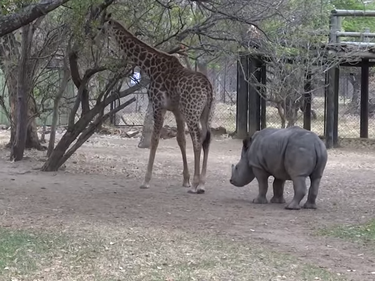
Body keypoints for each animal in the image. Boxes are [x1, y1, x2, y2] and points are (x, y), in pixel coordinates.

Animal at [100, 13, 214, 192]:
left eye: (103, 28)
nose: (97, 36)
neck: (150, 66)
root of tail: (208, 88)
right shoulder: (176, 110)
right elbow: (180, 140)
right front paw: (186, 179)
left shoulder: (158, 105)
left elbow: (154, 140)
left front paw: (146, 181)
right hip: (204, 112)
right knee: (206, 139)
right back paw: (201, 183)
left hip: (192, 111)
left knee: (197, 140)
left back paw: (196, 185)